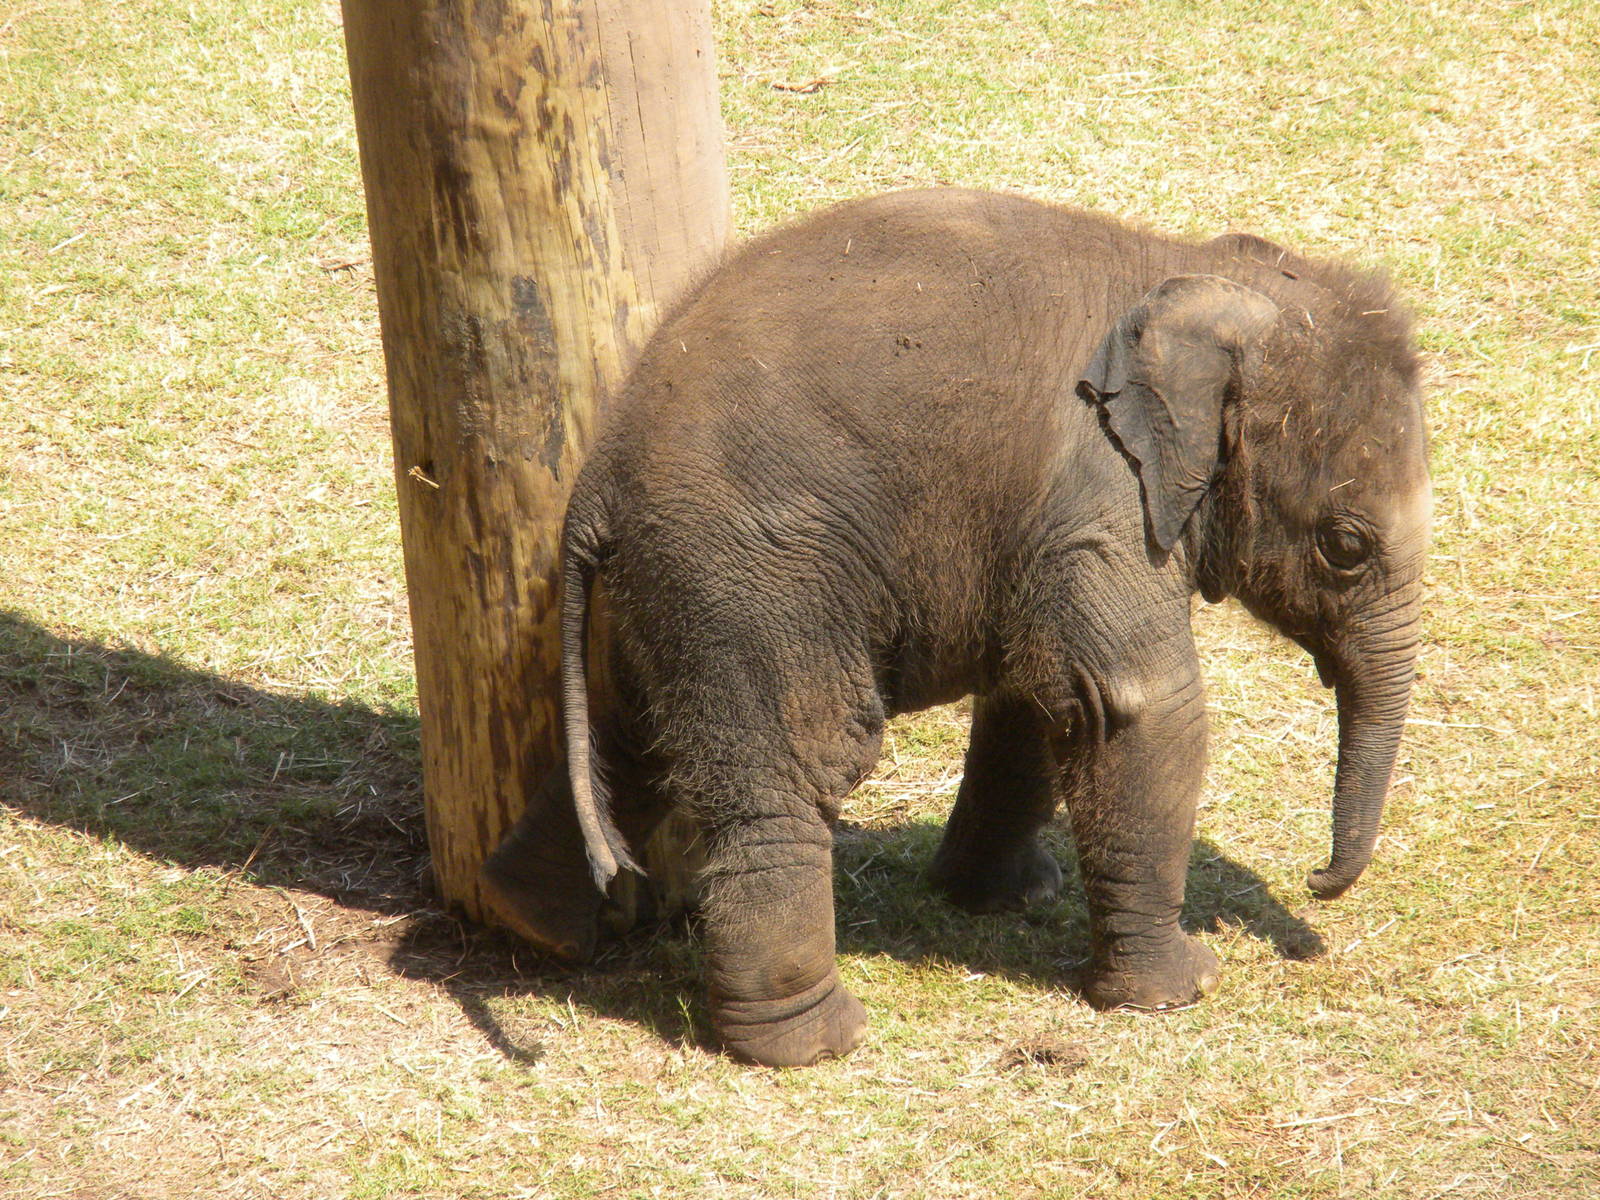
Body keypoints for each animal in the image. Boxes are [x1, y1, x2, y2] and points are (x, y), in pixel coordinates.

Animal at [481, 188, 1432, 1068]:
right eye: (1346, 547)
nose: (1317, 879)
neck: (1194, 269)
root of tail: (595, 485)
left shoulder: (1040, 522)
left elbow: (1040, 697)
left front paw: (1005, 899)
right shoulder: (1098, 493)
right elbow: (1136, 707)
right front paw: (1180, 989)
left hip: (654, 598)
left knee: (627, 741)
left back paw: (531, 922)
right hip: (748, 582)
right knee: (795, 766)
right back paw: (817, 1040)